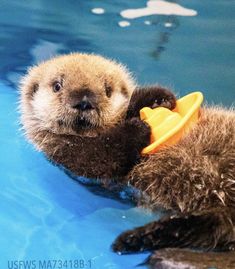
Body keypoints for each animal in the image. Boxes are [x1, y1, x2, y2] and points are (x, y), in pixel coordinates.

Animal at [20, 52, 235, 268]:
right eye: (57, 86)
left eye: (107, 89)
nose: (84, 101)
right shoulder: (68, 157)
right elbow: (101, 158)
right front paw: (137, 127)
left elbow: (130, 109)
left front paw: (157, 98)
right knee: (207, 227)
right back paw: (137, 242)